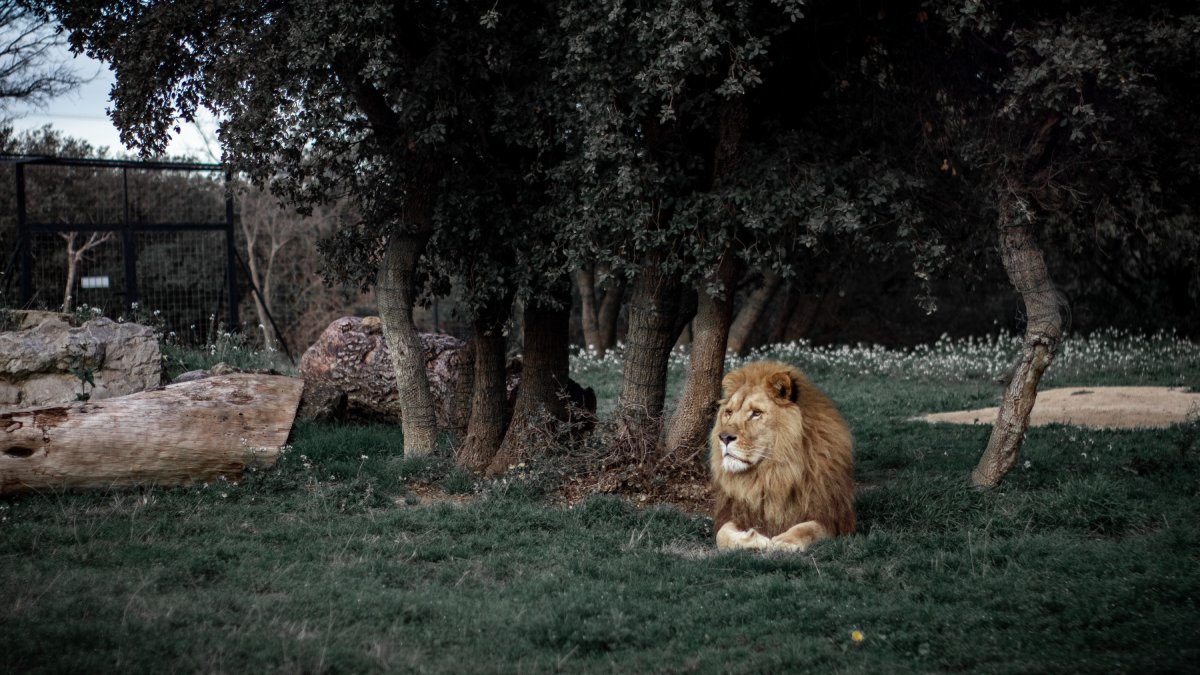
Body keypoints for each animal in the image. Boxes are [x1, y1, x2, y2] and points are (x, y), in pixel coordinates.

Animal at [710, 361, 855, 552]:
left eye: (756, 413)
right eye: (729, 412)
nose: (724, 437)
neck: (771, 474)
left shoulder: (833, 517)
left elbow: (810, 529)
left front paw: (784, 541)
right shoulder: (735, 512)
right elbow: (722, 535)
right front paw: (755, 539)